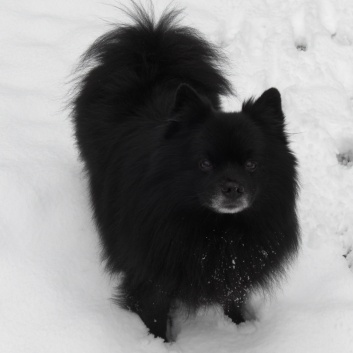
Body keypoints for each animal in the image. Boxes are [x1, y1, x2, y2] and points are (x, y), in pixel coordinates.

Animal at [71, 4, 296, 340]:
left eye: (251, 164)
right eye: (204, 163)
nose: (232, 187)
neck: (215, 230)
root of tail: (150, 57)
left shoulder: (235, 273)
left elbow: (233, 299)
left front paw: (240, 329)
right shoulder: (150, 281)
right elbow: (154, 318)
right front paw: (158, 343)